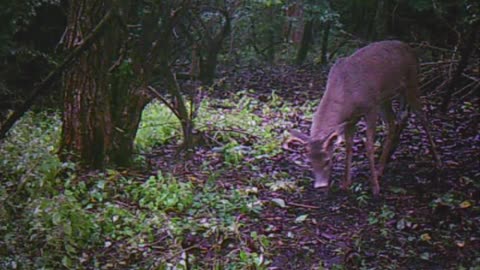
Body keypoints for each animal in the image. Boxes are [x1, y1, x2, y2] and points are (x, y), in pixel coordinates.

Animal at [288, 40, 442, 195]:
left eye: (328, 160)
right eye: (310, 162)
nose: (320, 186)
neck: (347, 95)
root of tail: (411, 50)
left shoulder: (370, 107)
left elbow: (369, 145)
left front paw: (375, 187)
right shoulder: (351, 119)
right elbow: (349, 145)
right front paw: (346, 184)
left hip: (412, 82)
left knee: (422, 117)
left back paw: (437, 162)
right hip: (385, 98)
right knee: (393, 122)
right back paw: (382, 166)